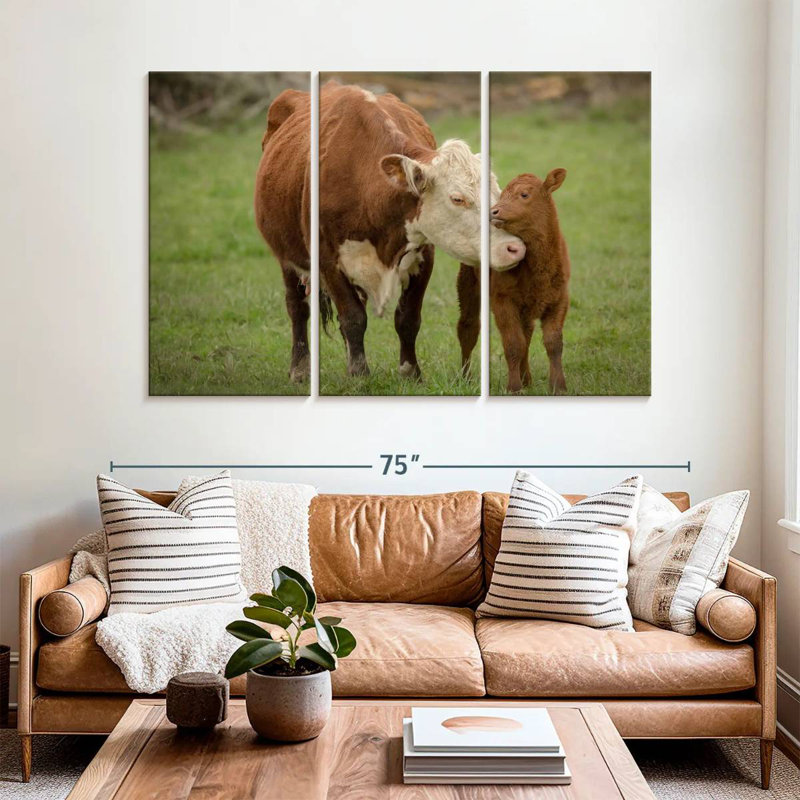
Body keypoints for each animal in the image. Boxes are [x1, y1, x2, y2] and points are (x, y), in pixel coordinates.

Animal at [254, 82, 525, 383]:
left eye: (497, 195)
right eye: (457, 198)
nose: (514, 248)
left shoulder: (424, 254)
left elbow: (407, 318)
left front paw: (410, 372)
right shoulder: (326, 260)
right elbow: (353, 317)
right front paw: (360, 374)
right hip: (287, 257)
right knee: (297, 307)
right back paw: (300, 368)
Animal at [457, 169, 571, 394]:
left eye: (524, 194)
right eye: (501, 195)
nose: (493, 211)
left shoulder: (559, 299)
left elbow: (553, 343)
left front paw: (558, 386)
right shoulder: (503, 300)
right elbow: (513, 344)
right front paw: (513, 387)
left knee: (527, 334)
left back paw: (527, 379)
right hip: (468, 284)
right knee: (468, 328)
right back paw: (465, 378)